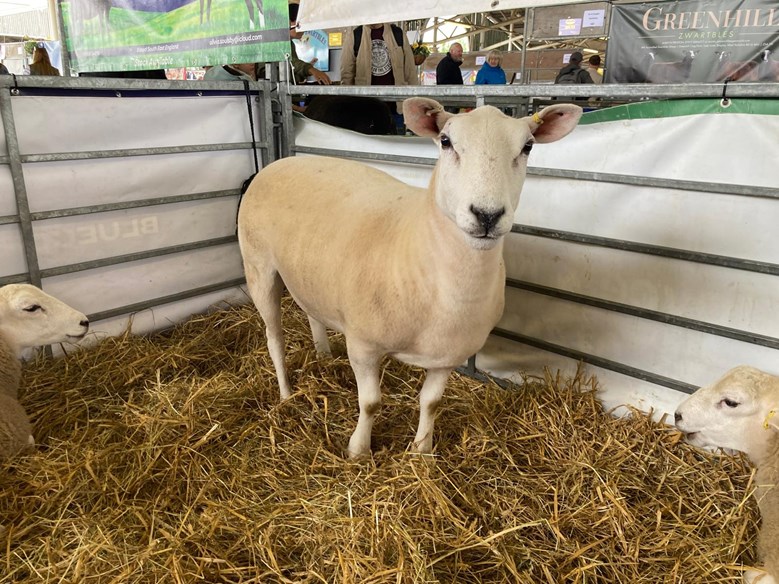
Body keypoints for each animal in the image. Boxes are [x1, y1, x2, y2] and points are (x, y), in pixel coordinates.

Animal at [241, 99, 580, 456]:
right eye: (445, 141)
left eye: (527, 147)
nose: (487, 215)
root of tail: (281, 162)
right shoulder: (363, 347)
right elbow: (371, 403)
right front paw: (358, 450)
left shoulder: (447, 357)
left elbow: (431, 403)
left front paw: (422, 450)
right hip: (259, 266)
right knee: (274, 337)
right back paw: (285, 393)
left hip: (310, 276)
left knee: (312, 314)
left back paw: (322, 355)